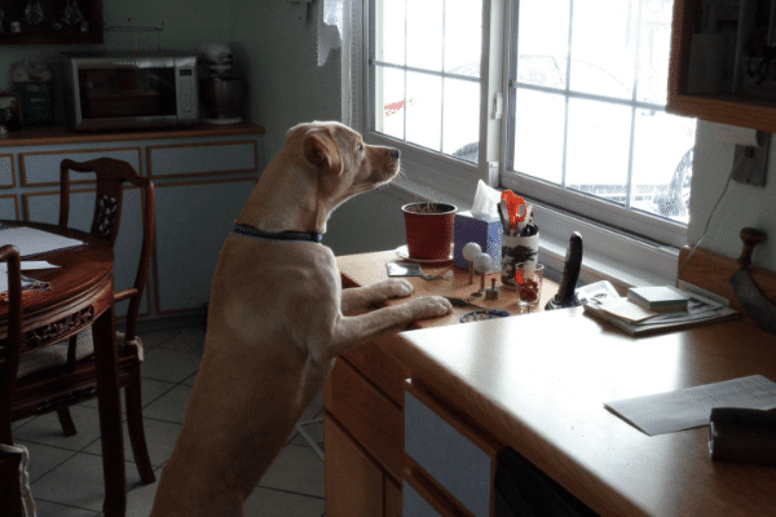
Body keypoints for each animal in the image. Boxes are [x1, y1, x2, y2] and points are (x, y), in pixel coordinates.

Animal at [149, 122, 452, 516]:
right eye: (358, 147)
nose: (398, 152)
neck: (280, 230)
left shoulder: (335, 302)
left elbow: (367, 294)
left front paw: (396, 285)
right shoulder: (330, 336)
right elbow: (390, 313)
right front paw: (429, 302)